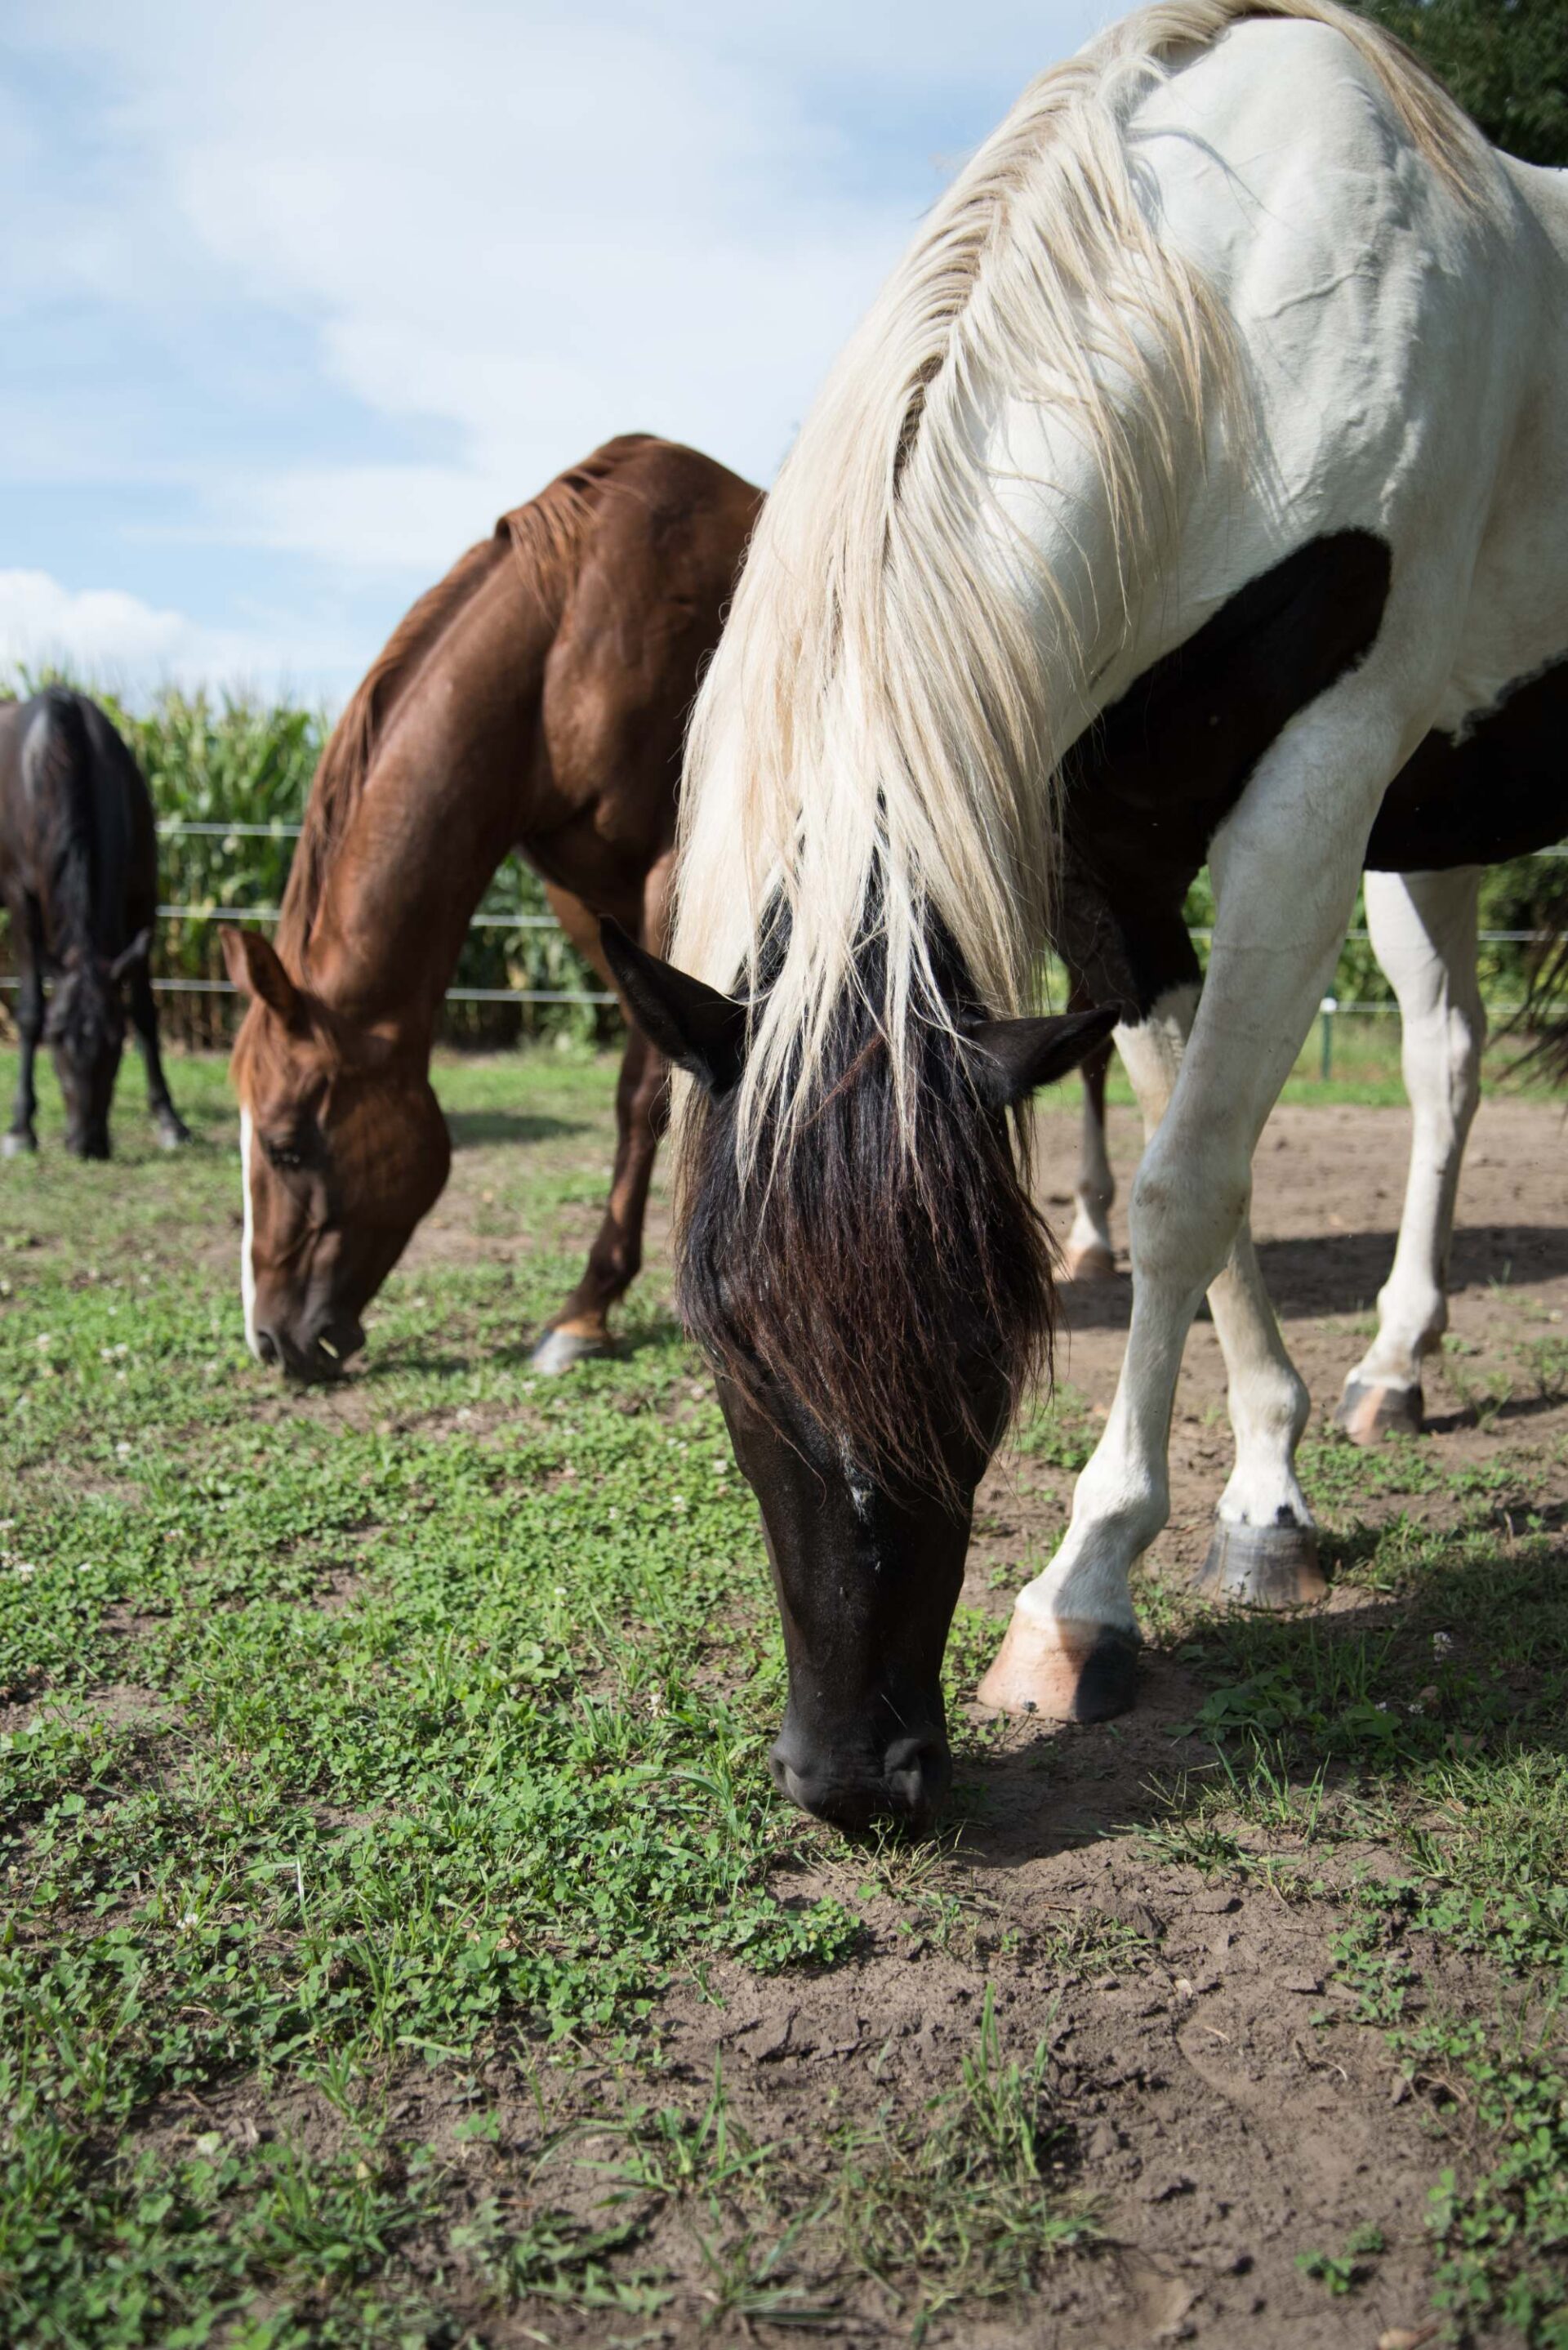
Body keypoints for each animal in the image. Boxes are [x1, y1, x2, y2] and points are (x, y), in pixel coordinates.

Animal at [0, 686, 190, 1165]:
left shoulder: (143, 897)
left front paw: (169, 1119)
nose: (87, 1144)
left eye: (116, 1039)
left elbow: (145, 1010)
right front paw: (21, 1127)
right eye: (55, 1039)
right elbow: (29, 1010)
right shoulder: (20, 899)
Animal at [222, 437, 761, 1372]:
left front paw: (590, 1304)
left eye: (287, 1145)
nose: (270, 1340)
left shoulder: (671, 871)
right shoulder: (584, 894)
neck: (567, 638)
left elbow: (646, 1090)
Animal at [611, 0, 1568, 1823]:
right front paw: (1269, 1489)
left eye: (991, 1341)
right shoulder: (1105, 850)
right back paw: (1396, 1365)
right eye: (720, 1332)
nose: (857, 1776)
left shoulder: (1321, 786)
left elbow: (1189, 1184)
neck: (1240, 314)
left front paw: (1086, 1592)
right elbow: (1204, 1152)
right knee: (1449, 1053)